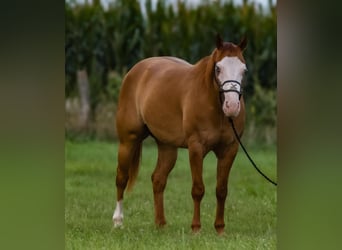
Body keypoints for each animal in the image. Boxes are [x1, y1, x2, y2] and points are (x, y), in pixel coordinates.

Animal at [113, 34, 247, 234]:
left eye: (244, 70)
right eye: (218, 68)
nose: (231, 106)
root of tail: (137, 70)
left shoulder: (229, 150)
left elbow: (221, 190)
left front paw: (220, 229)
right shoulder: (196, 148)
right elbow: (198, 189)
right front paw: (196, 228)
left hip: (167, 147)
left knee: (158, 179)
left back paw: (160, 224)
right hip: (128, 141)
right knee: (122, 178)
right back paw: (118, 221)